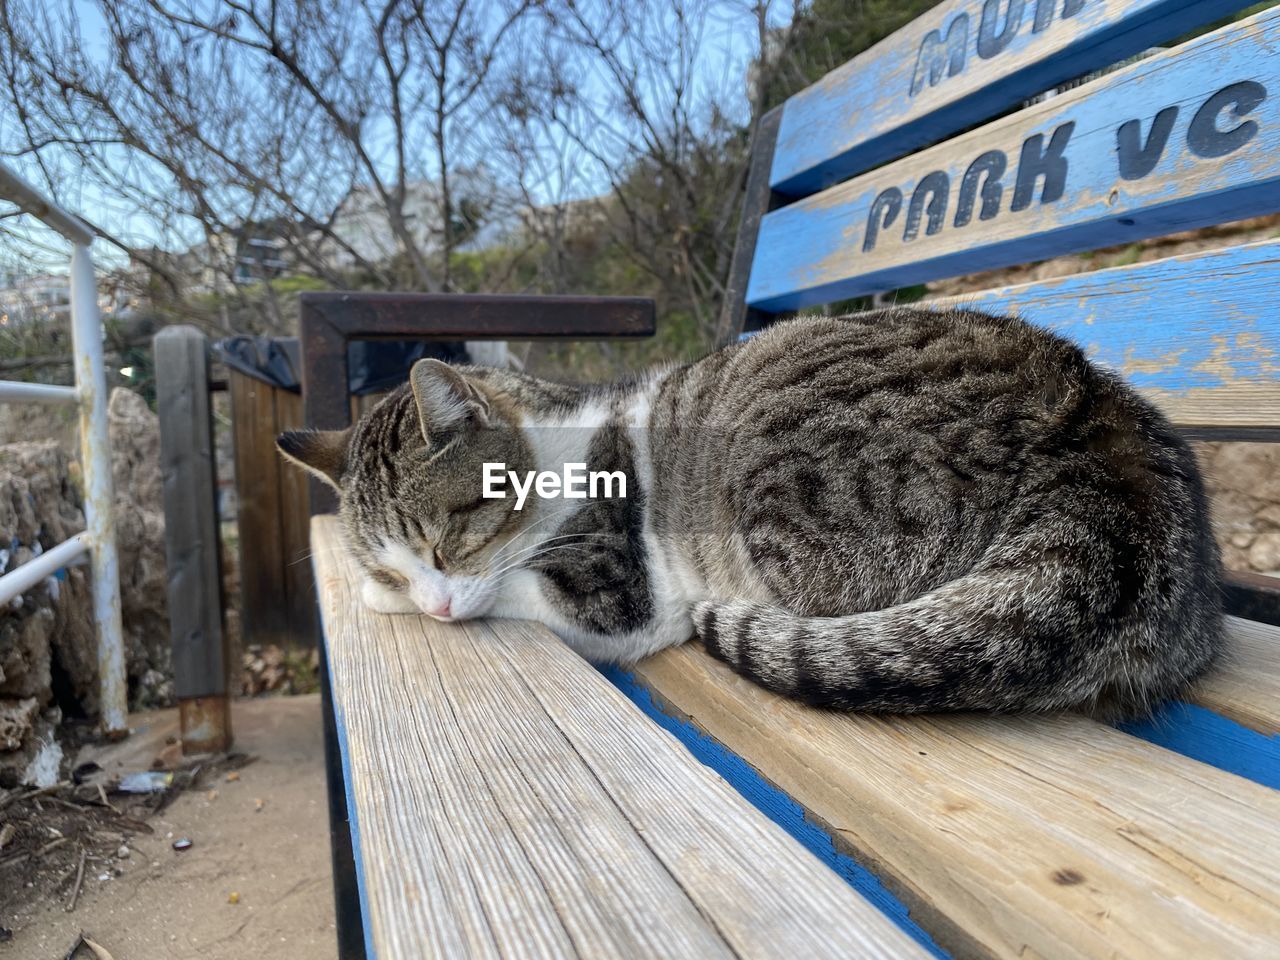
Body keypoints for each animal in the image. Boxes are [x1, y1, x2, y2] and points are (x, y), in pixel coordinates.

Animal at [277, 308, 1218, 716]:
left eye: (447, 538)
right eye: (394, 555)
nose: (428, 598)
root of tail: (1103, 445)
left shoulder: (616, 592)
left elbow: (519, 592)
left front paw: (395, 602)